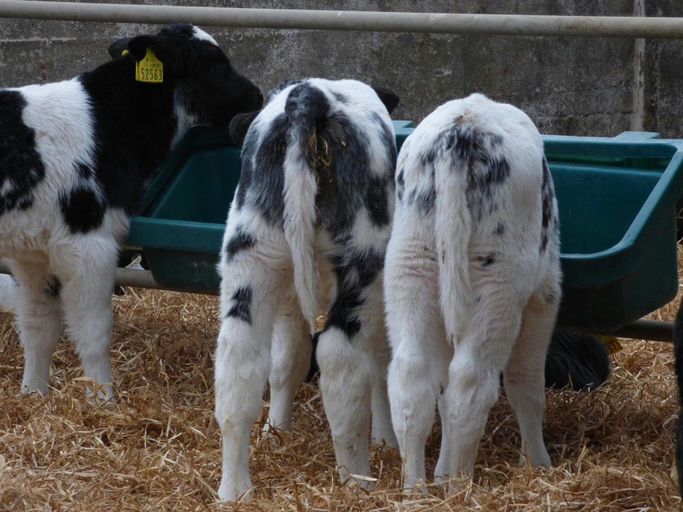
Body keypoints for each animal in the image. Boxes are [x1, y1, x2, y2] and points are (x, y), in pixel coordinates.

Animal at [0, 23, 262, 400]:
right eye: (215, 63)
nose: (257, 95)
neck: (107, 124)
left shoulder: (33, 254)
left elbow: (38, 328)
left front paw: (34, 394)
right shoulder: (88, 243)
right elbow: (93, 332)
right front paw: (102, 399)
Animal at [214, 78, 400, 501]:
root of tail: (311, 96)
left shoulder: (287, 296)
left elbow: (288, 359)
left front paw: (277, 432)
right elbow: (379, 365)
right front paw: (386, 440)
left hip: (251, 259)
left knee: (239, 361)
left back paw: (234, 489)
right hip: (363, 264)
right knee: (339, 359)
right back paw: (356, 480)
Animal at [383, 93, 562, 492]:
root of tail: (463, 127)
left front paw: (441, 471)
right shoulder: (544, 295)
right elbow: (526, 382)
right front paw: (538, 463)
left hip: (411, 264)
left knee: (412, 377)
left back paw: (416, 490)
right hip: (498, 279)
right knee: (470, 381)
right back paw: (460, 488)